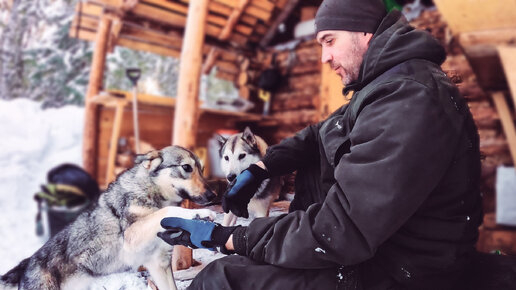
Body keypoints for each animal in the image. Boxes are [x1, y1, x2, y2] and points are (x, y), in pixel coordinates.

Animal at [0, 146, 216, 290]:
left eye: (202, 169)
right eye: (186, 167)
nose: (213, 195)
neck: (150, 192)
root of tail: (26, 263)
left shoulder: (159, 264)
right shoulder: (132, 237)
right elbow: (166, 211)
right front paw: (197, 214)